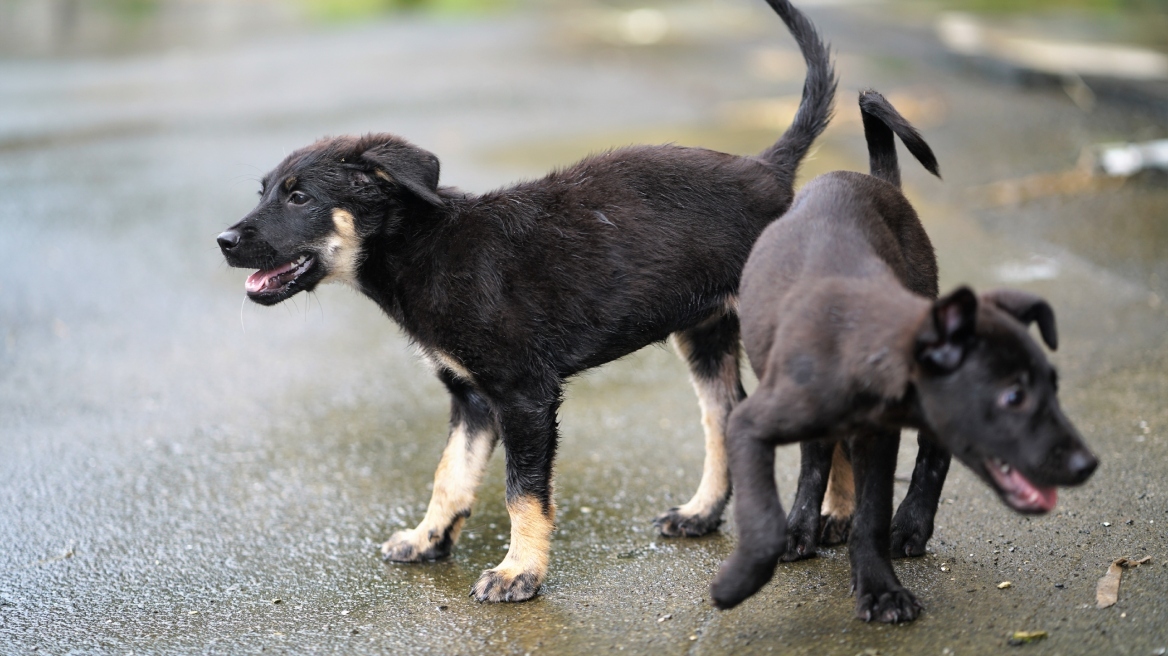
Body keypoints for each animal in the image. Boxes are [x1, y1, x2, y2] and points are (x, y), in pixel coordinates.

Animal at [217, 1, 840, 602]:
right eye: (266, 192)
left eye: (299, 197)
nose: (223, 242)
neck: (426, 247)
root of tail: (769, 171)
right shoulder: (471, 396)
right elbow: (450, 473)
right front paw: (428, 539)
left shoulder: (525, 395)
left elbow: (523, 493)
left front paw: (519, 572)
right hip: (707, 332)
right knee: (725, 415)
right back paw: (717, 514)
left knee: (823, 430)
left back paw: (807, 530)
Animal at [705, 90, 1097, 616]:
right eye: (1013, 397)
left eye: (1054, 389)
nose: (1086, 464)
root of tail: (876, 180)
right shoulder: (750, 425)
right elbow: (770, 508)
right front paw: (741, 580)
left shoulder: (879, 437)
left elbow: (872, 512)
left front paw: (879, 586)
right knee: (815, 458)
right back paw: (803, 527)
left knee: (928, 453)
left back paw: (910, 524)